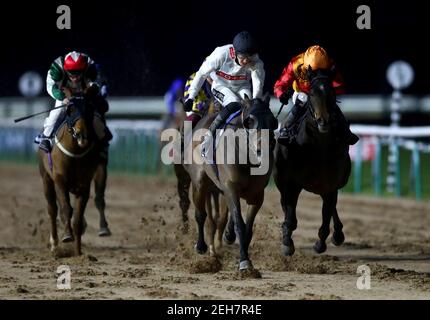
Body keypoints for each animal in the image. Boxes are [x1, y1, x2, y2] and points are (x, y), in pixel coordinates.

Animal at [38, 96, 100, 256]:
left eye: (89, 109)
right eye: (70, 110)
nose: (81, 134)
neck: (75, 154)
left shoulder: (84, 185)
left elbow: (77, 218)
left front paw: (78, 252)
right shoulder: (60, 181)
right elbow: (66, 208)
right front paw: (66, 236)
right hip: (46, 179)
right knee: (52, 209)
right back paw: (54, 244)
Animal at [183, 95, 278, 270]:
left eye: (273, 121)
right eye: (249, 121)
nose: (263, 148)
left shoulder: (257, 195)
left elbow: (247, 228)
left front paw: (244, 255)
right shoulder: (230, 188)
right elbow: (239, 223)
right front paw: (244, 261)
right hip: (200, 182)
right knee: (201, 214)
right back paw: (201, 246)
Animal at [274, 67, 352, 255]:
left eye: (331, 92)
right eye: (311, 92)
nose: (323, 120)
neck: (318, 148)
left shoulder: (330, 185)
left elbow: (326, 216)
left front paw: (320, 243)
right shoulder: (292, 183)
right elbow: (290, 217)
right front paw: (287, 242)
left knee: (331, 208)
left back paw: (338, 234)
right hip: (282, 181)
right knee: (285, 205)